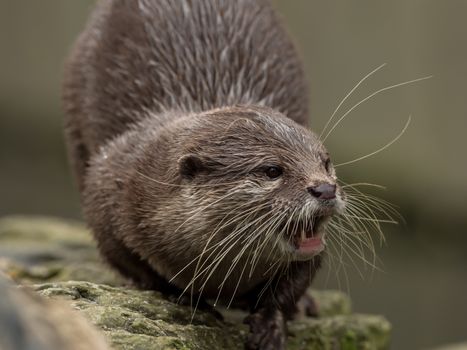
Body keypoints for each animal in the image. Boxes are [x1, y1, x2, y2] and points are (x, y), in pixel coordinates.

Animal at [63, 1, 348, 348]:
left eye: (326, 162)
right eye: (272, 170)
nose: (325, 189)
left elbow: (294, 282)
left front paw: (271, 323)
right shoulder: (107, 193)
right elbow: (135, 266)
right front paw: (186, 297)